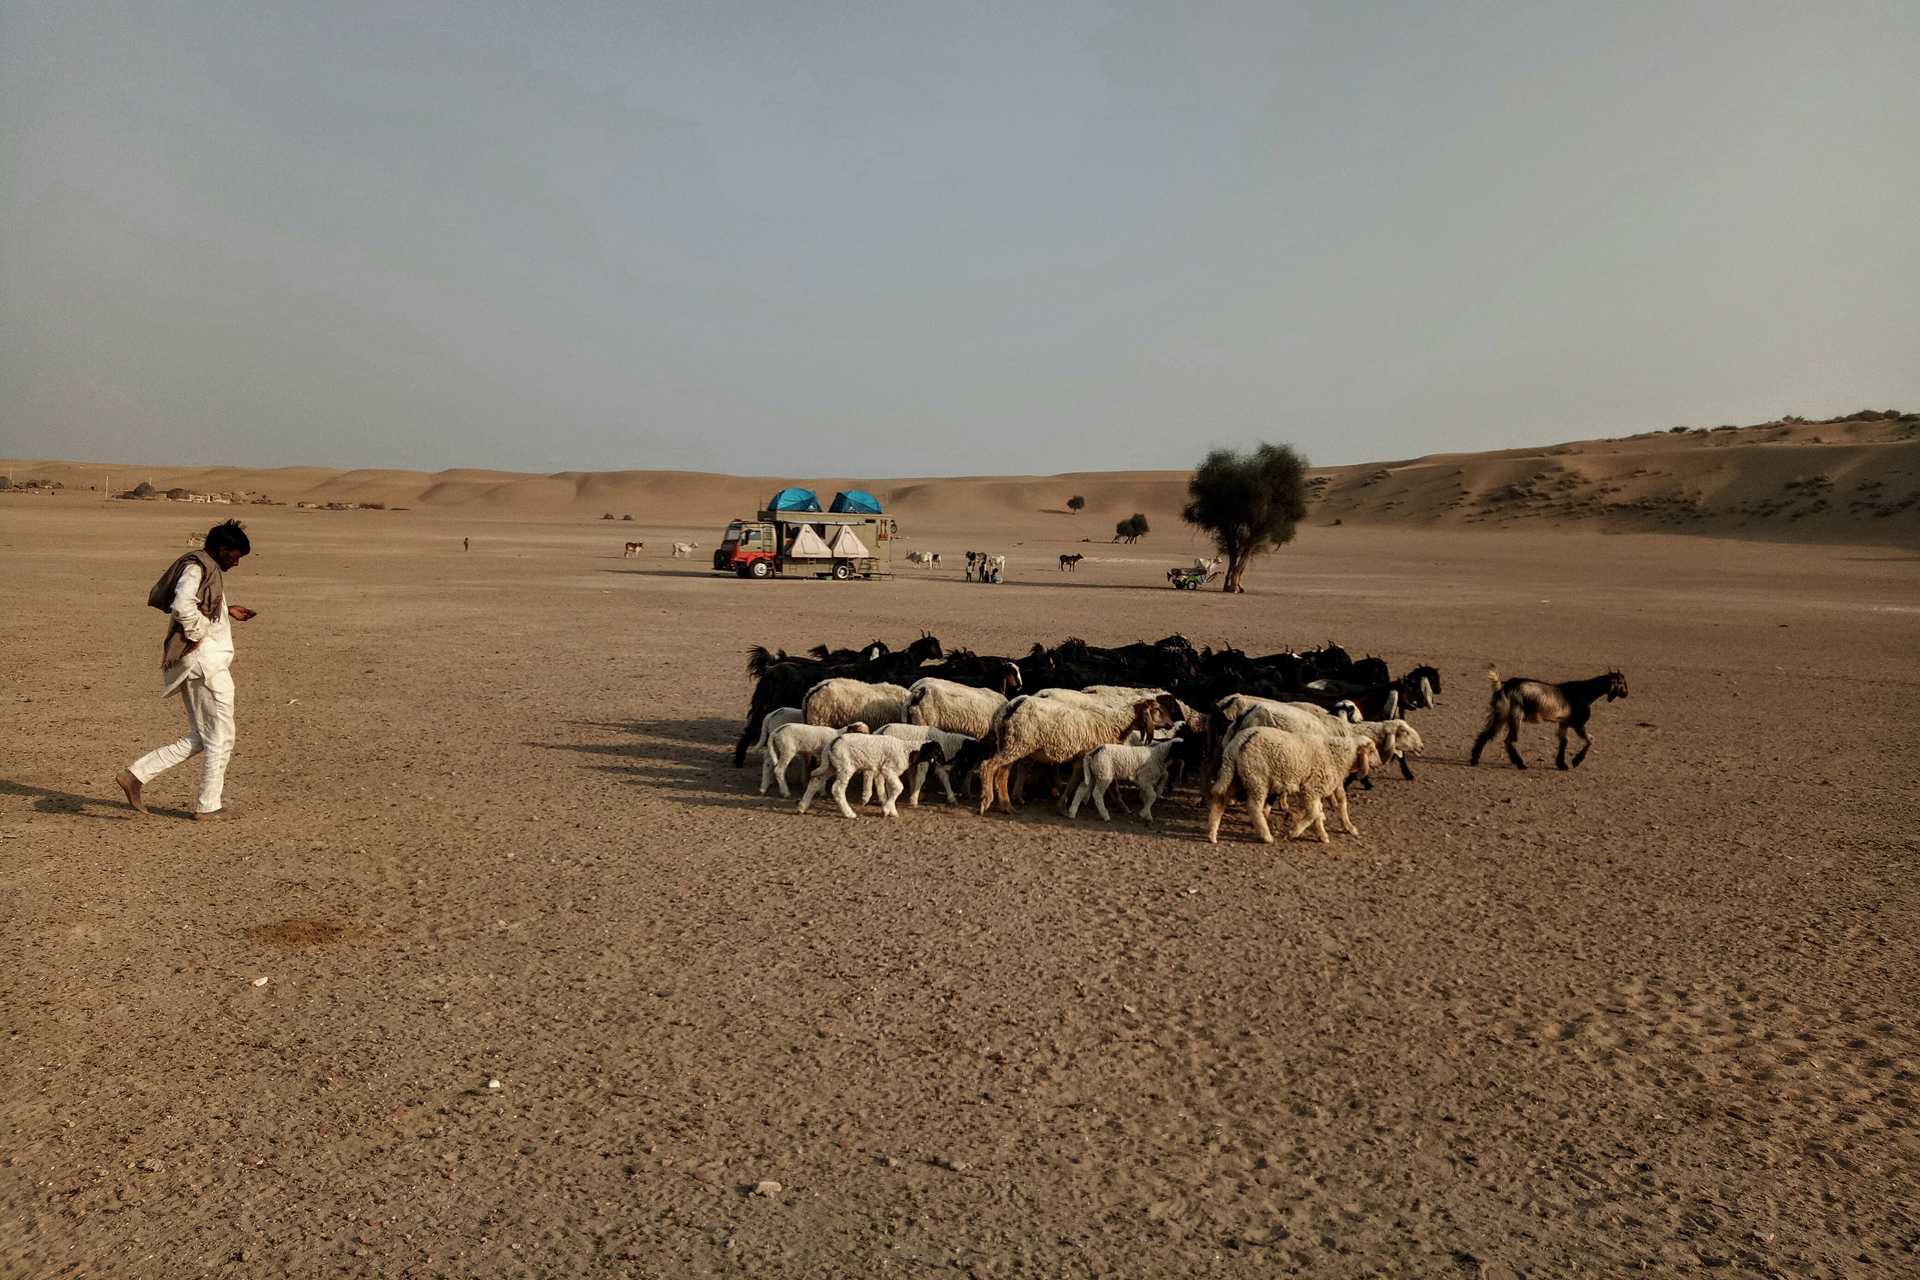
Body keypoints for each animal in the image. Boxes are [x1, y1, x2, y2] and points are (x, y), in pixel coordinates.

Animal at [1470, 667, 1628, 770]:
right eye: (1623, 684)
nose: (1626, 694)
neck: (1587, 693)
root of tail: (1503, 686)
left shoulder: (1564, 722)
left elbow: (1564, 741)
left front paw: (1562, 764)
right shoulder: (1578, 723)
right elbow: (1591, 739)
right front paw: (1576, 761)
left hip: (1499, 714)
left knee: (1486, 735)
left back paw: (1475, 759)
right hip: (1515, 715)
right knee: (1510, 740)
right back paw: (1521, 763)